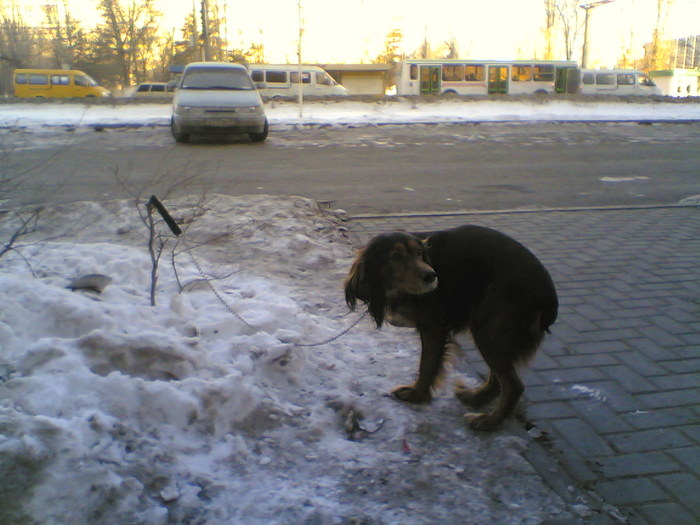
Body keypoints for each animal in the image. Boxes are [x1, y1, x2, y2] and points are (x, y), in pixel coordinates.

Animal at [344, 224, 556, 430]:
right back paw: (477, 398)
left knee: (514, 386)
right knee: (499, 381)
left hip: (488, 330)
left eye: (419, 252)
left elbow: (427, 364)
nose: (431, 276)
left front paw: (417, 394)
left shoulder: (433, 328)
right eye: (395, 257)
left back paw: (490, 422)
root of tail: (547, 293)